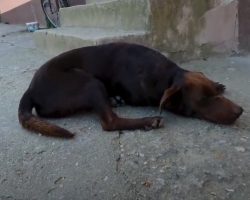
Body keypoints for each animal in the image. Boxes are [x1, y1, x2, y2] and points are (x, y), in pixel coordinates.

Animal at [18, 42, 243, 138]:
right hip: (90, 82)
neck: (167, 76)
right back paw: (148, 121)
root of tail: (30, 89)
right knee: (110, 122)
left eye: (216, 94)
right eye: (204, 100)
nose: (240, 111)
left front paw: (218, 83)